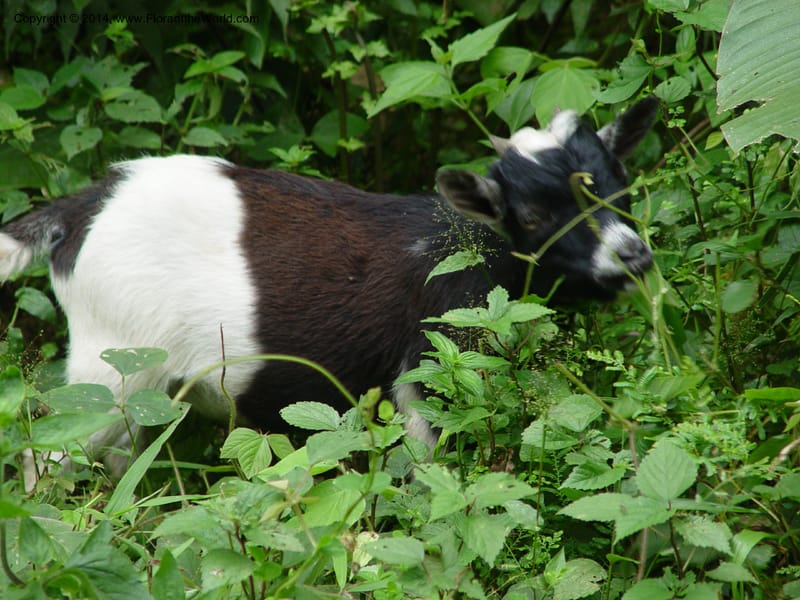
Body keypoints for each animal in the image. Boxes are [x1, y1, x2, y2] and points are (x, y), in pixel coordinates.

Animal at [0, 97, 657, 469]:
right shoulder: (428, 365)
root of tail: (81, 210)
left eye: (617, 181)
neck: (462, 240)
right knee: (50, 454)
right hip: (115, 364)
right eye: (534, 216)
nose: (633, 256)